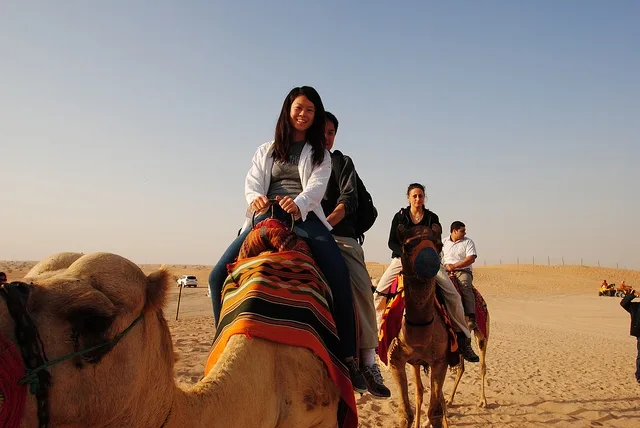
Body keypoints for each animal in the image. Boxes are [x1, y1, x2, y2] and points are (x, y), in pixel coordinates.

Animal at [387, 225, 451, 428]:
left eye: (439, 245)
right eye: (406, 246)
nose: (430, 260)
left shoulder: (441, 360)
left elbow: (435, 412)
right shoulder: (395, 360)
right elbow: (404, 415)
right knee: (419, 391)